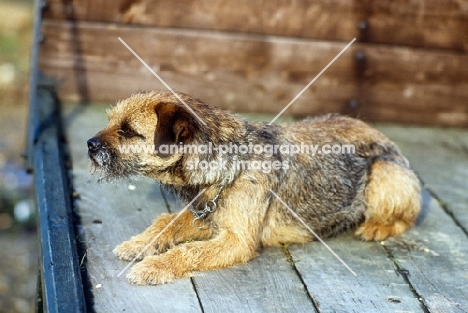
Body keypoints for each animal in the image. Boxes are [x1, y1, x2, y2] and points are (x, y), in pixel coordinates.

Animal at [87, 89, 420, 282]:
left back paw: (377, 226)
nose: (89, 144)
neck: (233, 163)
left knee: (405, 217)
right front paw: (140, 243)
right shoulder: (207, 216)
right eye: (112, 121)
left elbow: (189, 251)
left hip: (384, 173)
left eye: (129, 131)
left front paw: (153, 267)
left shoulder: (237, 240)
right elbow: (167, 221)